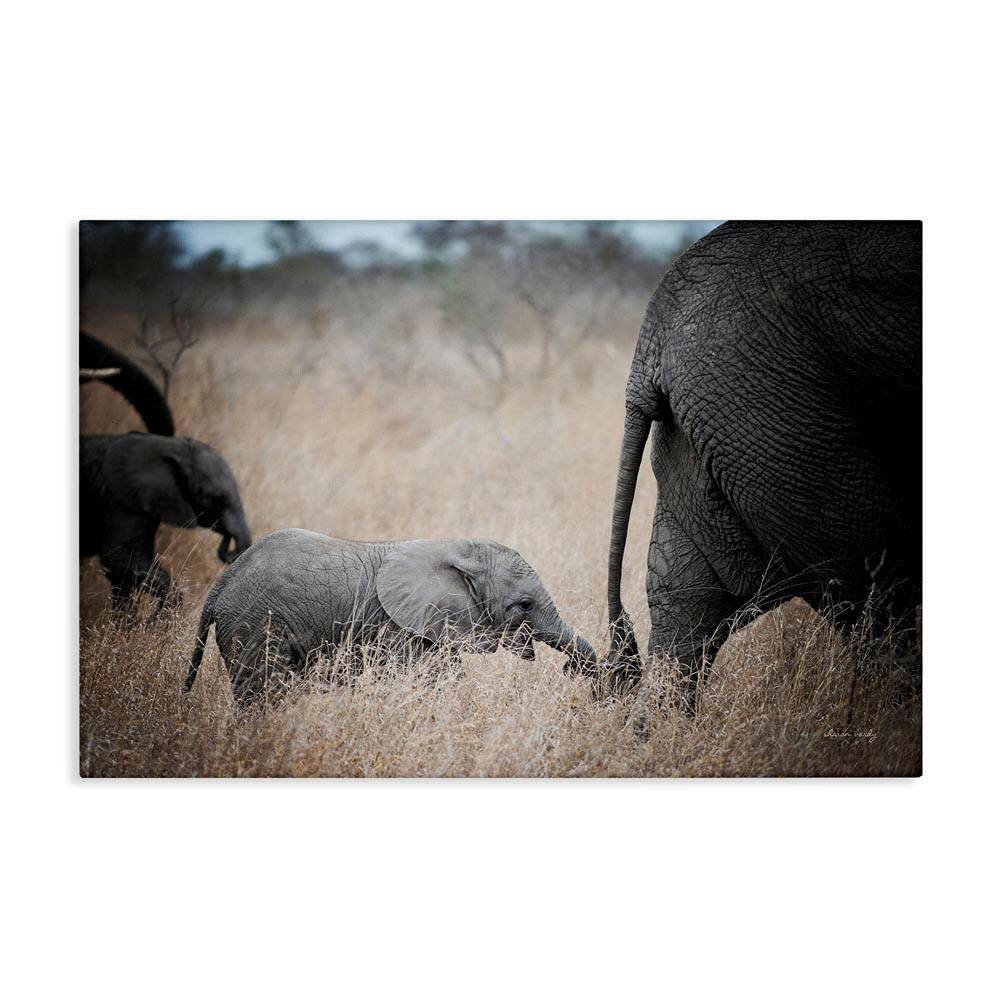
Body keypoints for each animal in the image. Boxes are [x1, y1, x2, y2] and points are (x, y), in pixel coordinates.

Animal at [81, 433, 252, 613]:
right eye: (216, 499)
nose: (227, 534)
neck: (169, 446)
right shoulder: (115, 501)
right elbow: (122, 562)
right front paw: (153, 618)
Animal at [184, 529, 598, 704]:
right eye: (525, 605)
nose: (572, 671)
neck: (456, 547)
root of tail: (221, 583)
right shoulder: (396, 628)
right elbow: (436, 682)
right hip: (254, 623)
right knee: (262, 690)